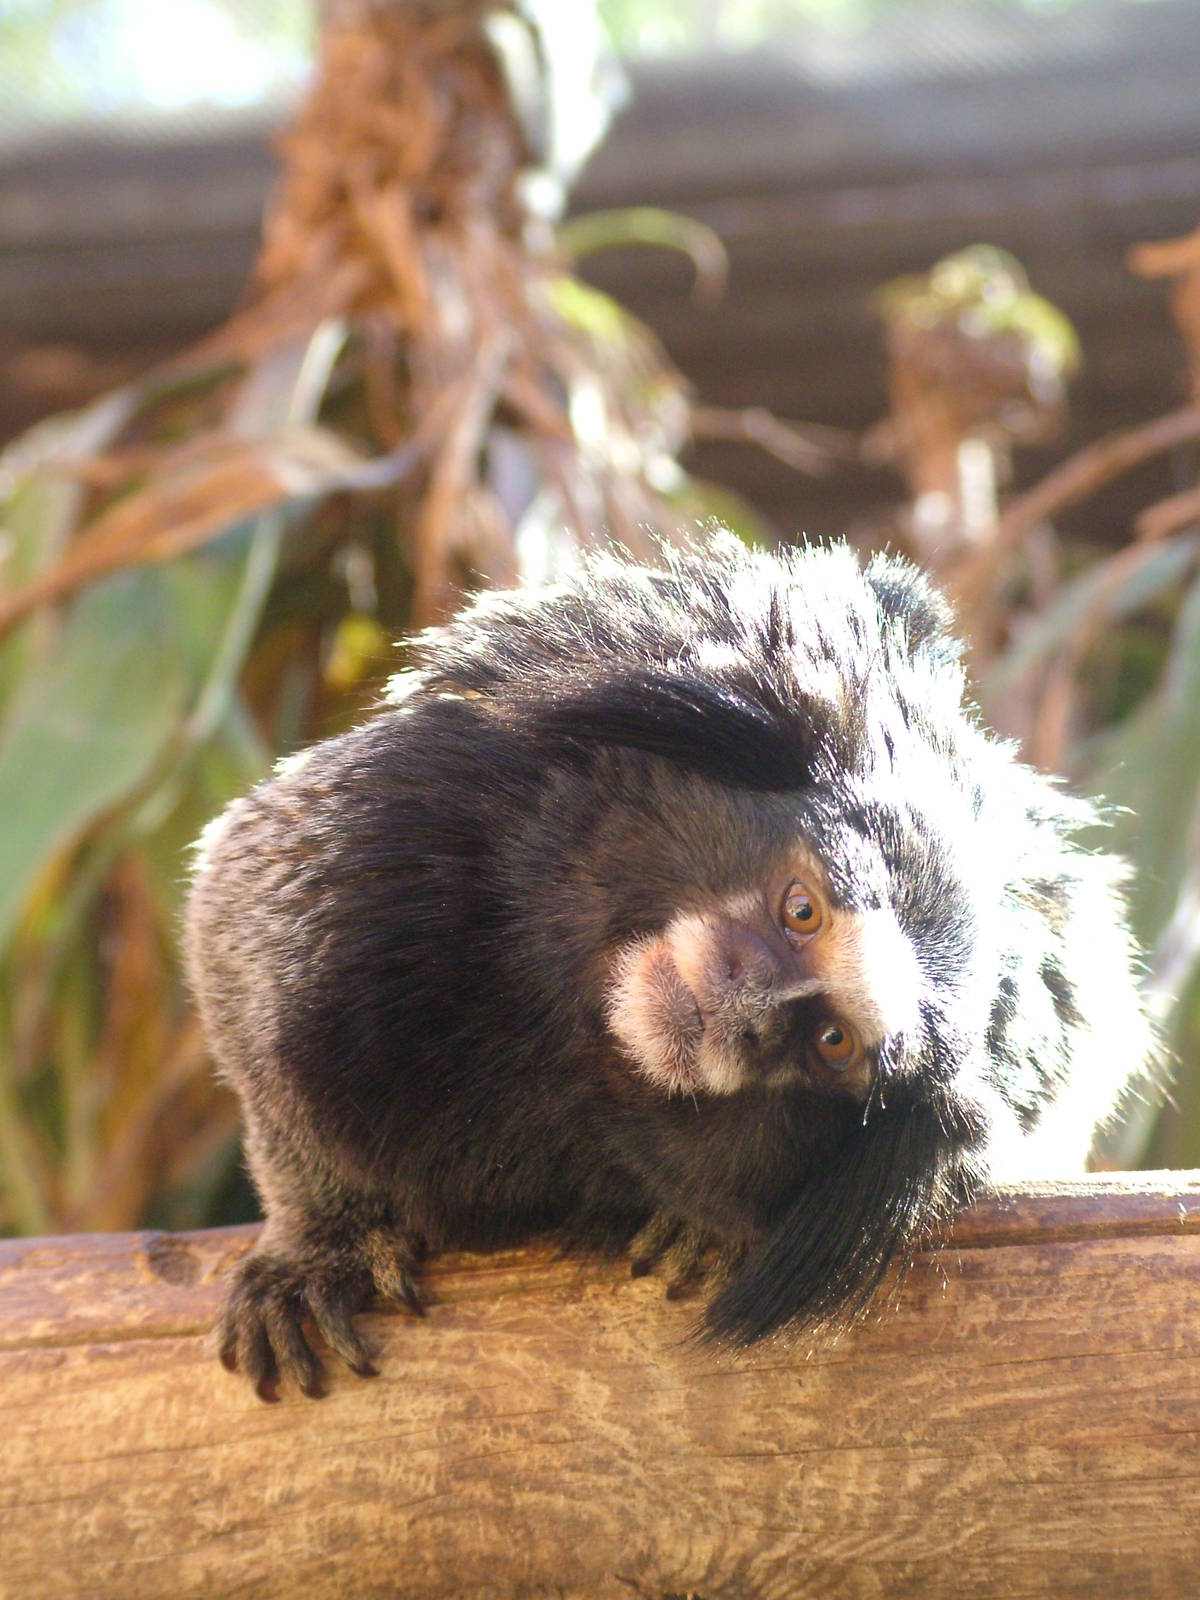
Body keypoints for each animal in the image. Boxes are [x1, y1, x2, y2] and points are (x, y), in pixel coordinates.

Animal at [184, 534, 1153, 1399]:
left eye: (831, 1042)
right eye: (801, 909)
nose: (753, 1012)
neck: (575, 1047)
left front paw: (695, 1231)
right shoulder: (404, 834)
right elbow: (244, 952)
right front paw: (321, 1240)